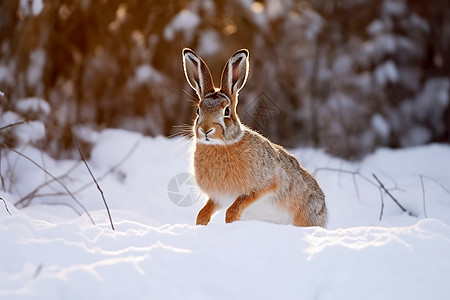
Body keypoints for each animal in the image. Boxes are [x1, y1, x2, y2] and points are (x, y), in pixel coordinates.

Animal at [183, 47, 326, 227]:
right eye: (198, 111)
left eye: (227, 111)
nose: (205, 130)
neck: (222, 144)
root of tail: (324, 210)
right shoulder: (218, 197)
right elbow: (203, 214)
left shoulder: (265, 185)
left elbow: (233, 210)